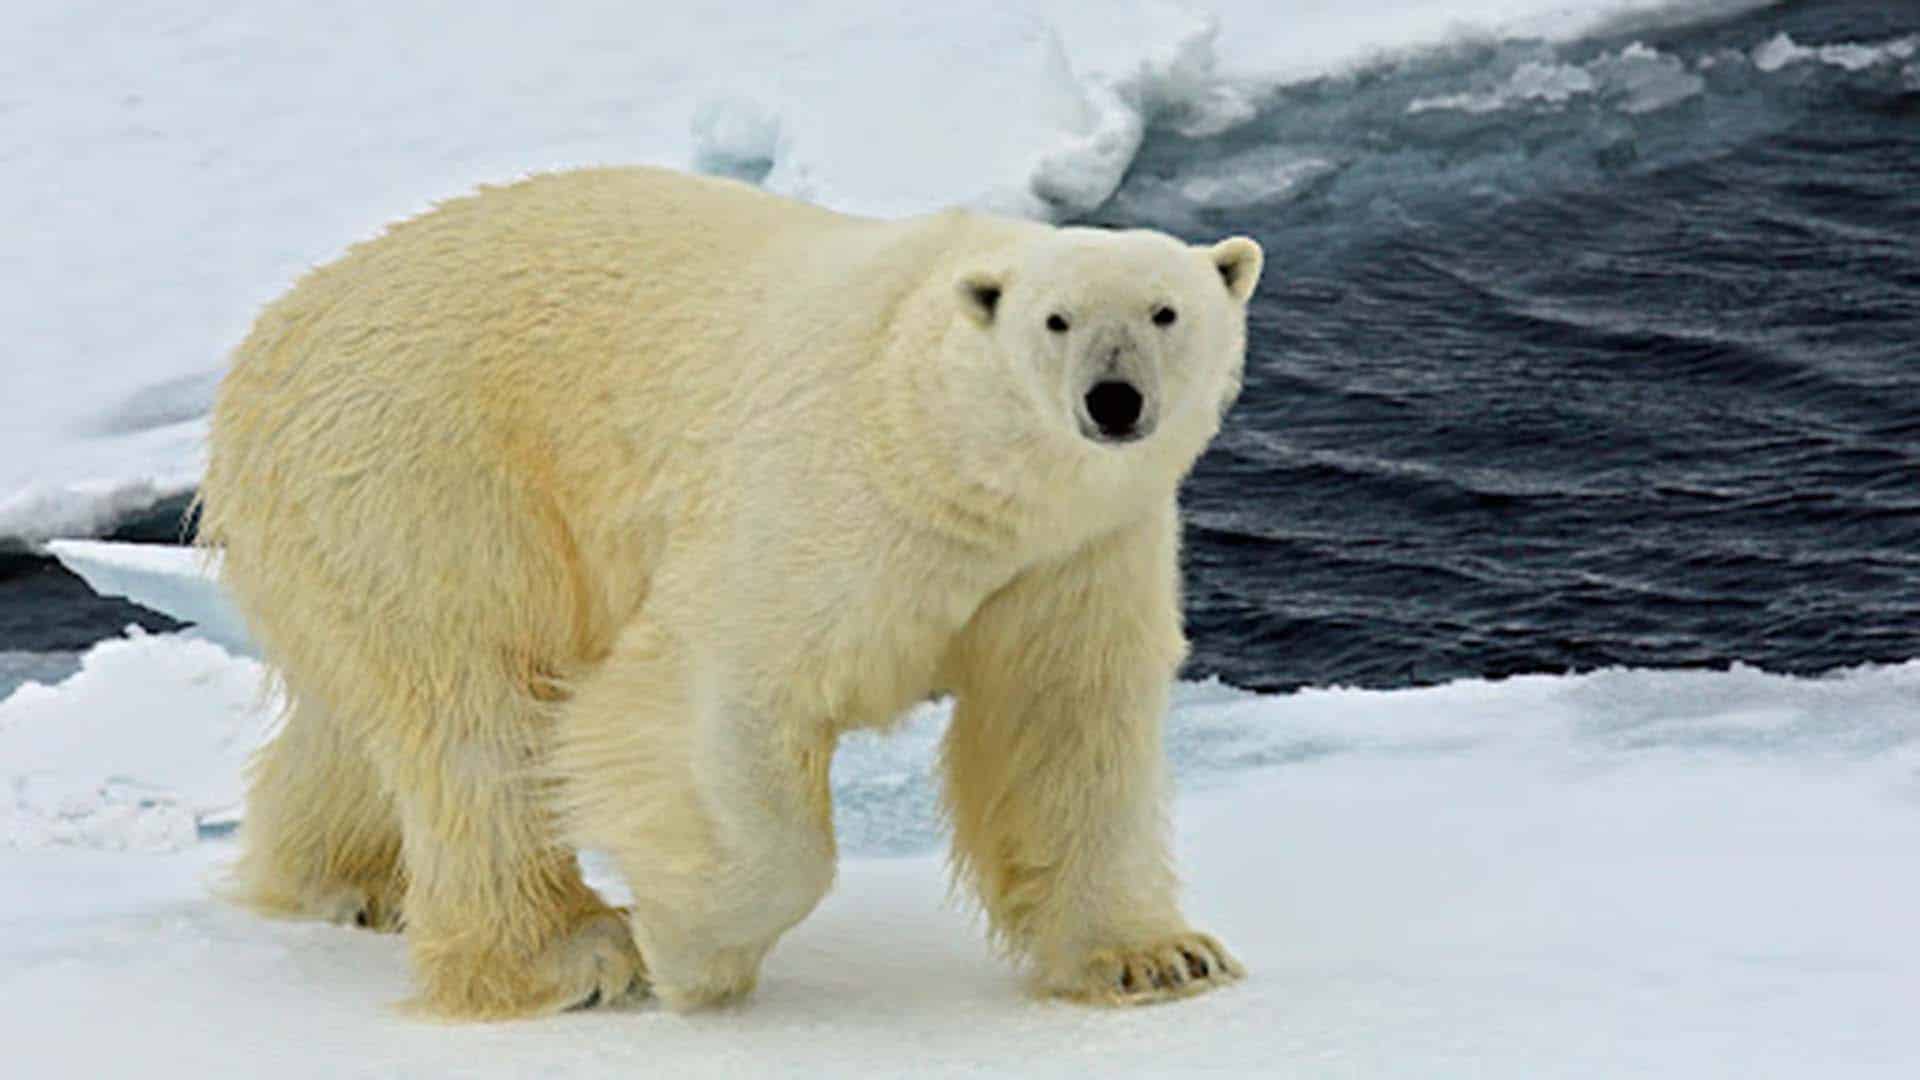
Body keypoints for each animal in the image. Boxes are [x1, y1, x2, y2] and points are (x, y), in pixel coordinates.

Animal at [196, 166, 1263, 1018]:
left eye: (1166, 312)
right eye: (1056, 320)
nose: (1114, 401)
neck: (932, 437)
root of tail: (269, 339)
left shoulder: (1072, 554)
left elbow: (1066, 723)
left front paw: (1156, 958)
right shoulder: (827, 498)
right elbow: (718, 698)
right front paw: (690, 952)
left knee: (368, 712)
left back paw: (342, 882)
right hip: (428, 476)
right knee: (479, 716)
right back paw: (568, 957)